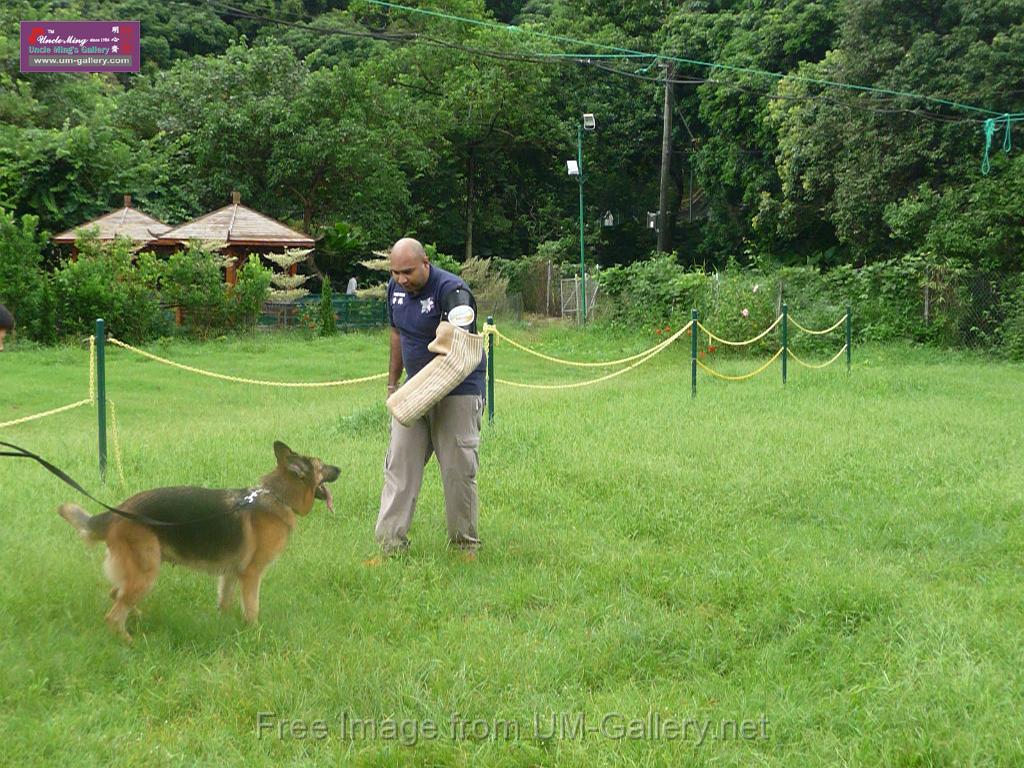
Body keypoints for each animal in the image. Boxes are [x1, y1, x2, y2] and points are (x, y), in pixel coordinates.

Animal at [58, 442, 339, 638]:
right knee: (114, 615)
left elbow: (224, 603)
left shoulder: (231, 574)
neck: (278, 496)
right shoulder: (251, 575)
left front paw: (224, 626)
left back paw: (137, 617)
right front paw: (255, 634)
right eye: (322, 465)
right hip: (146, 574)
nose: (340, 469)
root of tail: (117, 511)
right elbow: (252, 610)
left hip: (138, 573)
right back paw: (130, 642)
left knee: (116, 593)